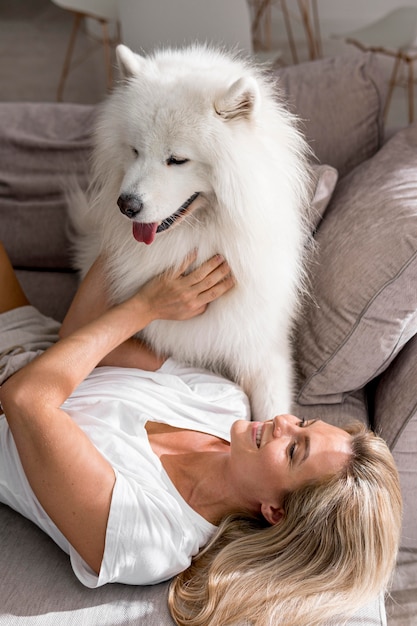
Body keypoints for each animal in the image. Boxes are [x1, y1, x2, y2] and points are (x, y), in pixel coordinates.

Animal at [72, 44, 312, 420]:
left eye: (177, 160)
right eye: (135, 150)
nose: (126, 205)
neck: (196, 239)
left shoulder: (261, 348)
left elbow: (272, 410)